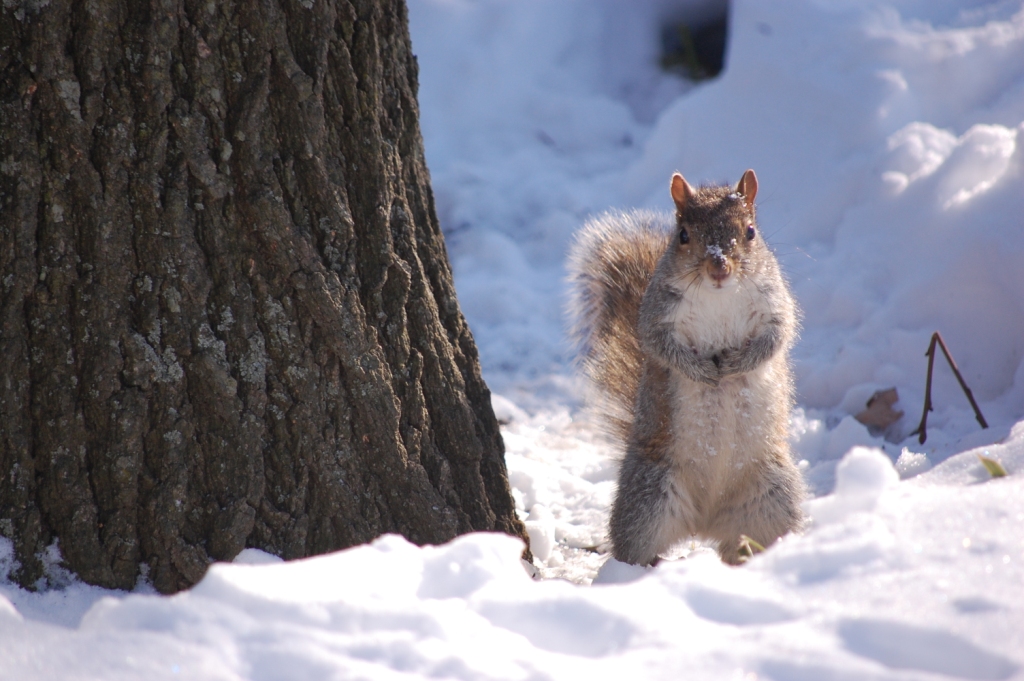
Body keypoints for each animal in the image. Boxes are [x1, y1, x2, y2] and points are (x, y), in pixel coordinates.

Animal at [567, 169, 805, 565]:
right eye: (683, 235)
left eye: (750, 232)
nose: (718, 266)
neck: (719, 295)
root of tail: (705, 522)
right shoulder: (657, 314)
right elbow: (660, 346)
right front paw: (702, 372)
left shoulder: (775, 304)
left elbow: (777, 338)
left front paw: (737, 364)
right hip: (649, 499)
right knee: (634, 547)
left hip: (774, 498)